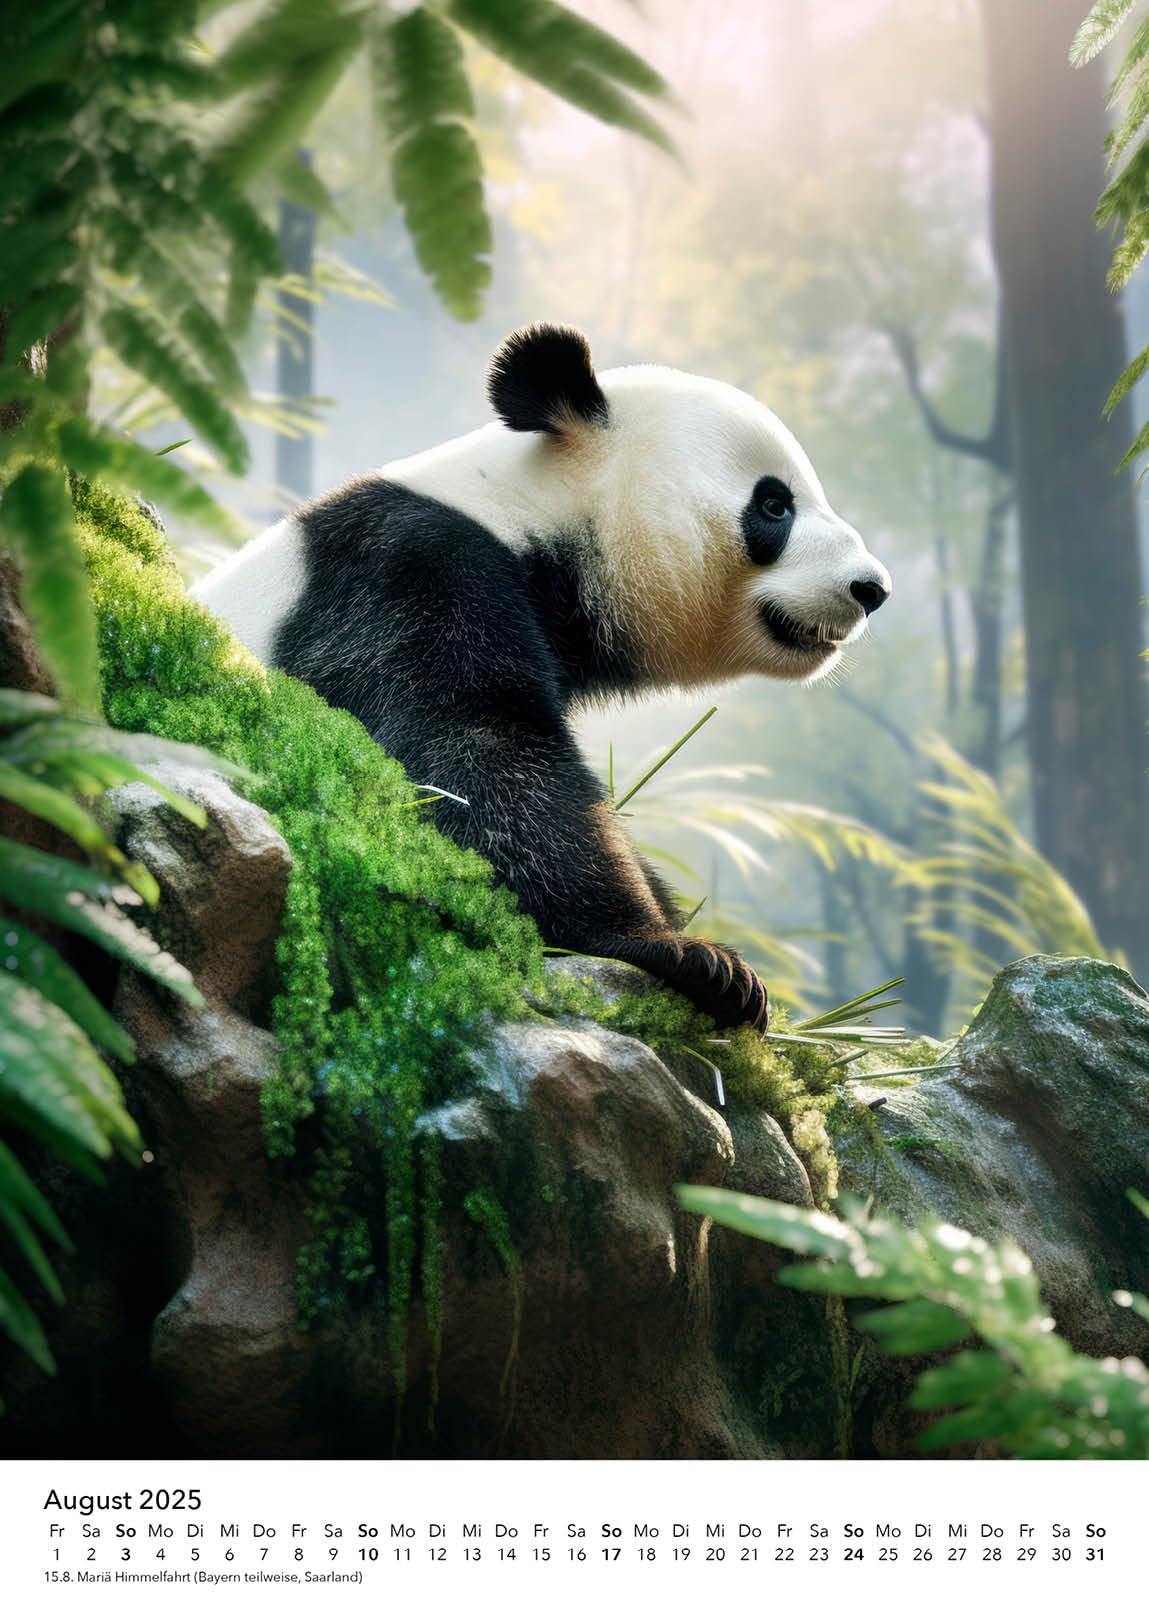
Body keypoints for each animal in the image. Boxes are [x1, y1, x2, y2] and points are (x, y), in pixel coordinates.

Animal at [194, 325, 890, 1031]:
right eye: (774, 505)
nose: (872, 589)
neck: (520, 509)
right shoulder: (402, 574)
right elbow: (467, 760)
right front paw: (678, 952)